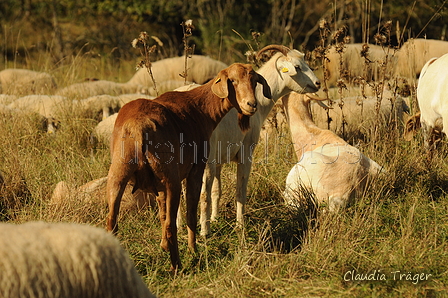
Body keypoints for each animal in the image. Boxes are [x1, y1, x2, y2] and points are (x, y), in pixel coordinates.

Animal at [107, 64, 272, 272]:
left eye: (254, 80)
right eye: (233, 81)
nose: (251, 105)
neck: (200, 108)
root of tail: (138, 128)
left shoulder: (159, 185)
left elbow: (162, 213)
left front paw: (162, 246)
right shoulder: (197, 168)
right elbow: (192, 210)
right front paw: (194, 248)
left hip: (118, 175)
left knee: (112, 222)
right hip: (172, 179)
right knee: (172, 224)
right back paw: (178, 266)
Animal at [198, 44, 320, 236]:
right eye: (297, 67)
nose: (317, 84)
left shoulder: (219, 159)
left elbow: (217, 191)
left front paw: (216, 219)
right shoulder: (245, 153)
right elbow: (240, 190)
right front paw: (240, 226)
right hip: (205, 161)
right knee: (202, 194)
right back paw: (204, 233)